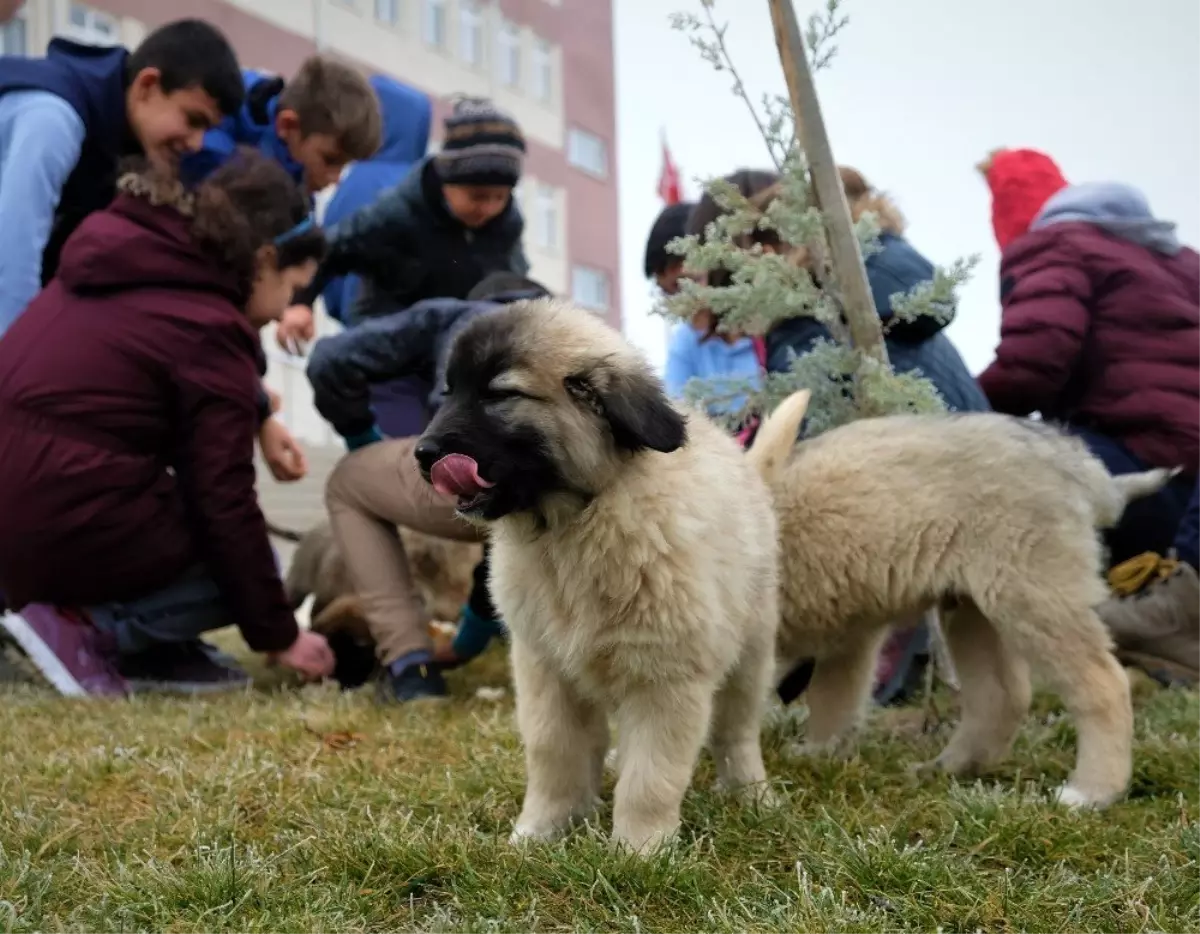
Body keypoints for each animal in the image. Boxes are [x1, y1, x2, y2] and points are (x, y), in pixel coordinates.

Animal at [768, 410, 1171, 806]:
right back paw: (948, 768)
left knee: (1103, 683)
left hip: (1032, 594)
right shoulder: (851, 632)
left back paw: (1091, 791)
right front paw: (819, 756)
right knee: (1002, 696)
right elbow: (834, 697)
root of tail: (1066, 453)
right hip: (970, 607)